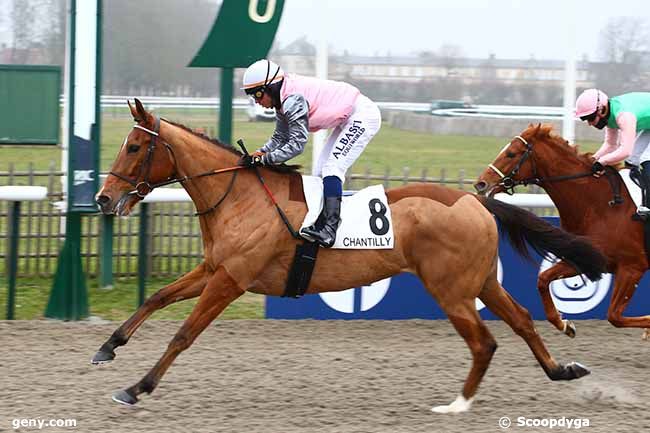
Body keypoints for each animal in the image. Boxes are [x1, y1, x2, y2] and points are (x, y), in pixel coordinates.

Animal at [92, 100, 604, 412]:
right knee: (519, 320)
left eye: (134, 146)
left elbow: (183, 335)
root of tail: (474, 200)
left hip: (452, 290)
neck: (238, 195)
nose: (102, 198)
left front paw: (136, 388)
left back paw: (458, 404)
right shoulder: (214, 268)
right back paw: (562, 370)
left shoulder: (230, 280)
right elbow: (156, 298)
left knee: (485, 342)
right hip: (480, 281)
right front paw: (107, 347)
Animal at [474, 124, 644, 338]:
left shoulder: (632, 267)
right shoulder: (587, 257)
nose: (481, 183)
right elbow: (543, 279)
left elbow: (615, 316)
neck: (602, 205)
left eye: (511, 153)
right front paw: (564, 324)